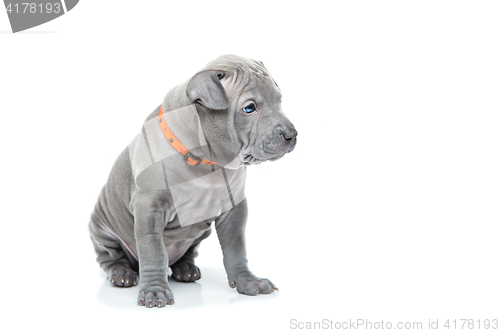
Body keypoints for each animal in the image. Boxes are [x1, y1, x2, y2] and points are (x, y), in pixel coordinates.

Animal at [89, 54, 296, 306]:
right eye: (249, 108)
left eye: (279, 101)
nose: (292, 135)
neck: (208, 163)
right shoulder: (149, 209)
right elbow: (154, 252)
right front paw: (155, 291)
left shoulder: (235, 210)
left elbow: (236, 249)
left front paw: (248, 282)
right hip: (102, 227)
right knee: (110, 257)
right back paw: (121, 273)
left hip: (198, 234)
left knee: (187, 252)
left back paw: (185, 269)